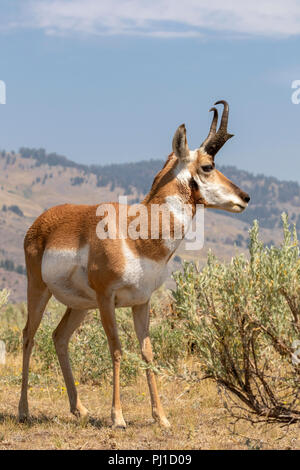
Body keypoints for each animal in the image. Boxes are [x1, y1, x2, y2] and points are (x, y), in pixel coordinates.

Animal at [18, 101, 251, 428]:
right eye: (207, 166)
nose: (245, 197)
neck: (137, 235)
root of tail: (42, 220)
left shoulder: (142, 302)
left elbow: (147, 353)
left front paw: (161, 418)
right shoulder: (107, 298)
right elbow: (117, 349)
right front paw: (118, 417)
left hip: (80, 305)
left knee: (59, 337)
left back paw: (80, 409)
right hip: (39, 290)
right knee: (29, 336)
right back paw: (23, 411)